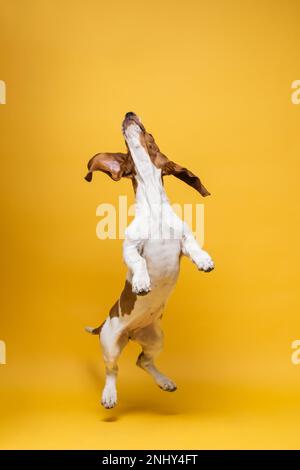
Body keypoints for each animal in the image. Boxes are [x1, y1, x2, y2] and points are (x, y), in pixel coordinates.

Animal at [84, 111, 213, 408]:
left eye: (150, 136)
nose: (130, 114)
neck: (155, 209)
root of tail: (130, 333)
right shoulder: (131, 248)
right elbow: (139, 262)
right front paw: (142, 282)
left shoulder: (184, 240)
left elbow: (195, 246)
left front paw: (204, 260)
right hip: (110, 342)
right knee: (113, 369)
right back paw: (109, 395)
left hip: (155, 339)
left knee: (142, 361)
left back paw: (164, 381)